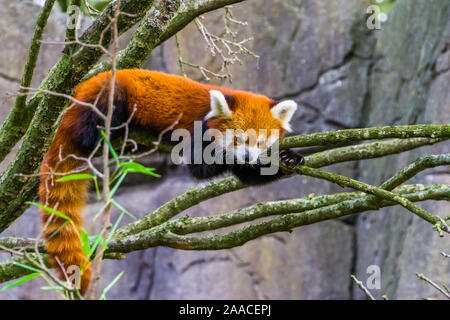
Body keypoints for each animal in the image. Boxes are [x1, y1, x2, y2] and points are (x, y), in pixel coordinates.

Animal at [38, 68, 304, 296]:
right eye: (238, 140)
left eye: (260, 142)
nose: (248, 156)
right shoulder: (199, 133)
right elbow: (200, 166)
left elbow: (249, 175)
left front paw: (289, 157)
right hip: (108, 94)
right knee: (92, 126)